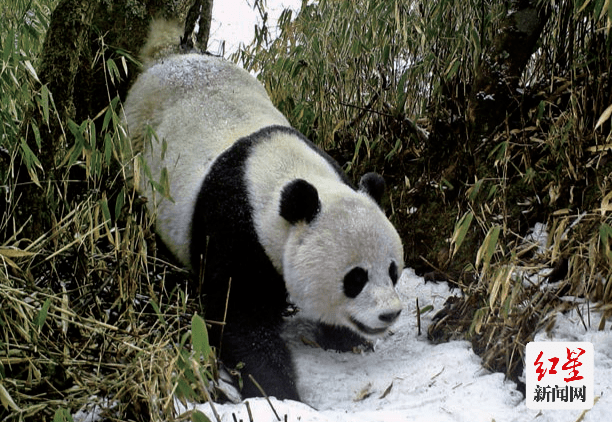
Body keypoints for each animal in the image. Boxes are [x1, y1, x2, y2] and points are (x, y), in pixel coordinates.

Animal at [122, 20, 404, 402]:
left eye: (392, 271)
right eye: (355, 278)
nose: (389, 314)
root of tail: (165, 57)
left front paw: (345, 339)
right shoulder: (233, 224)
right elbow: (239, 318)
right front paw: (277, 390)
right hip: (134, 149)